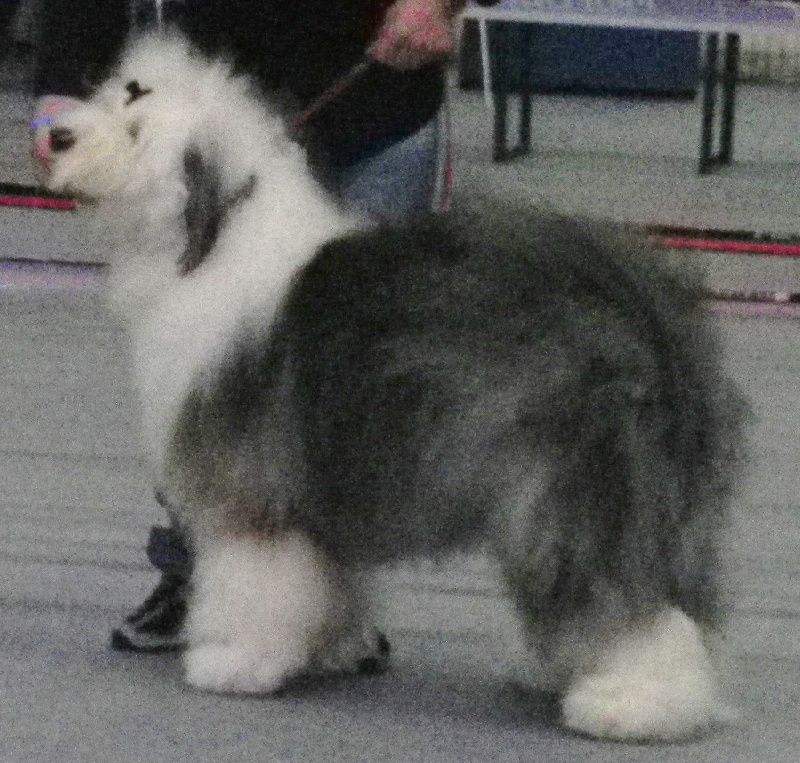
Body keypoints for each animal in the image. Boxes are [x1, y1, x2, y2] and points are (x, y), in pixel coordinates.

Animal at [43, 34, 747, 742]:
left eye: (135, 129)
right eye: (108, 96)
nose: (55, 136)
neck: (212, 239)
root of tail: (647, 313)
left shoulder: (254, 493)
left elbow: (254, 582)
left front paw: (235, 663)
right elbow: (326, 581)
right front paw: (328, 649)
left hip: (580, 491)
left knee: (631, 602)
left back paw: (631, 705)